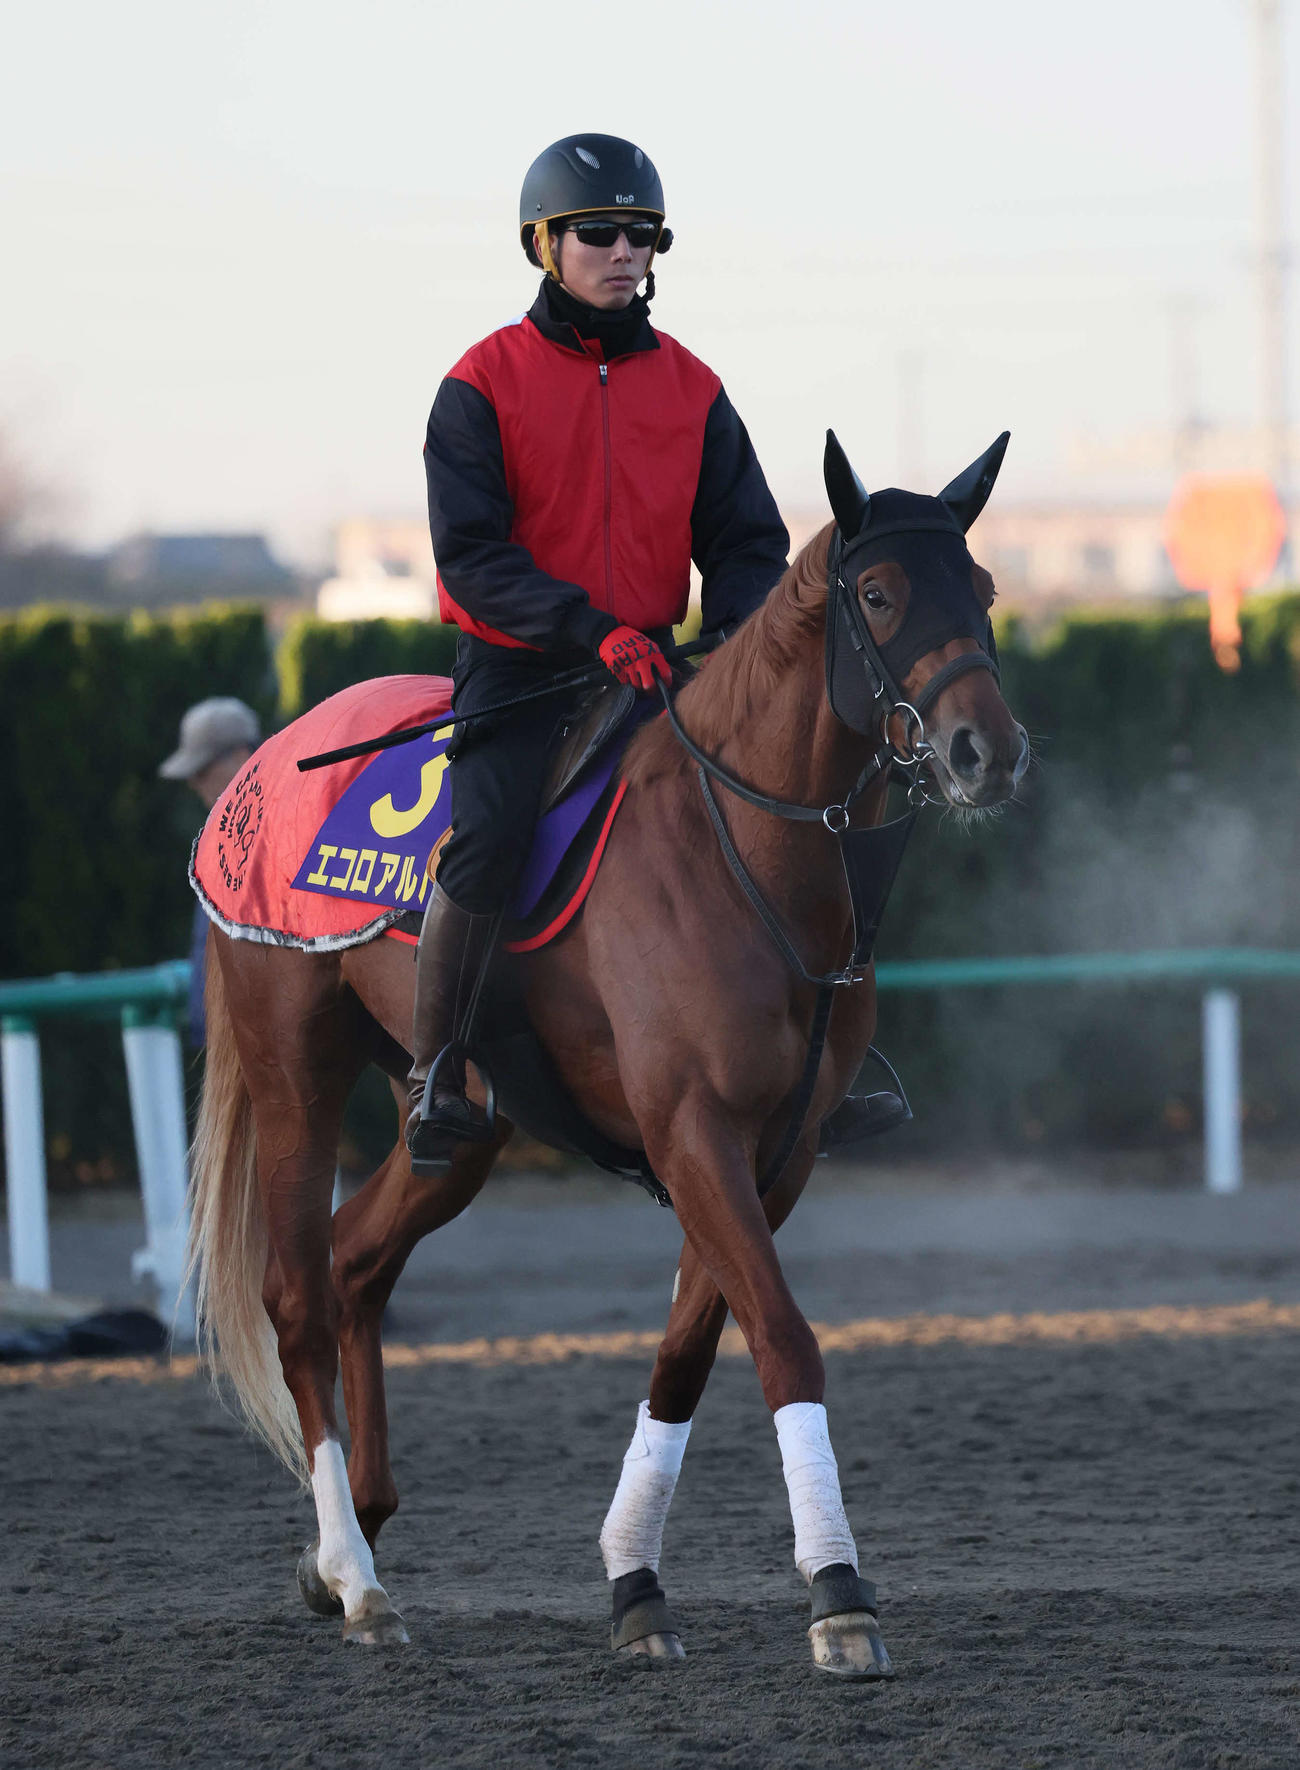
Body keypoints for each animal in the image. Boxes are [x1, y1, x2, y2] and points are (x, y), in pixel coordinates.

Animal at [186, 430, 1030, 1677]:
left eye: (979, 588)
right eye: (877, 594)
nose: (987, 751)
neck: (742, 854)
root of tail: (260, 773)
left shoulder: (774, 1154)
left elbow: (688, 1355)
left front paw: (635, 1581)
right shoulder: (693, 1133)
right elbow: (784, 1337)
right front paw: (837, 1593)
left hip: (459, 1127)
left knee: (355, 1266)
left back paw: (355, 1542)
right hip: (297, 1073)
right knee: (295, 1297)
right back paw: (357, 1577)